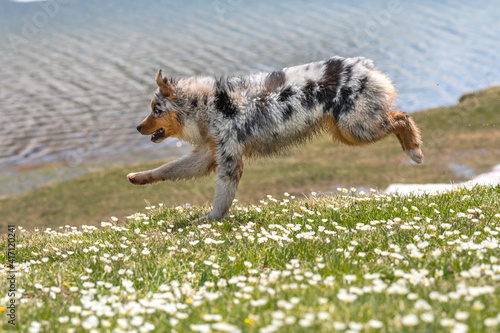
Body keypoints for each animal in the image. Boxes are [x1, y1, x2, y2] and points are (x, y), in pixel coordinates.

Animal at [127, 55, 424, 222]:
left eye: (155, 110)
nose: (138, 127)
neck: (206, 105)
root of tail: (364, 65)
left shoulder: (230, 159)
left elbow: (222, 196)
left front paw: (209, 219)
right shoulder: (208, 154)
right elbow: (168, 168)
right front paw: (139, 177)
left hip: (356, 127)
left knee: (401, 117)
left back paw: (415, 151)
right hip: (347, 131)